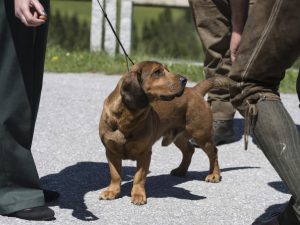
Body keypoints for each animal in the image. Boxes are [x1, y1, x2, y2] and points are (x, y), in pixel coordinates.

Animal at [99, 60, 236, 205]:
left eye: (167, 70)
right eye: (157, 72)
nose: (184, 79)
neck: (126, 118)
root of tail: (195, 90)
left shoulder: (145, 153)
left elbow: (139, 177)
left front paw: (138, 195)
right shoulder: (111, 152)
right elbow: (115, 175)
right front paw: (112, 191)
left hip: (202, 136)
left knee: (213, 153)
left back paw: (214, 175)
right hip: (179, 137)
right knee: (189, 150)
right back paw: (181, 170)